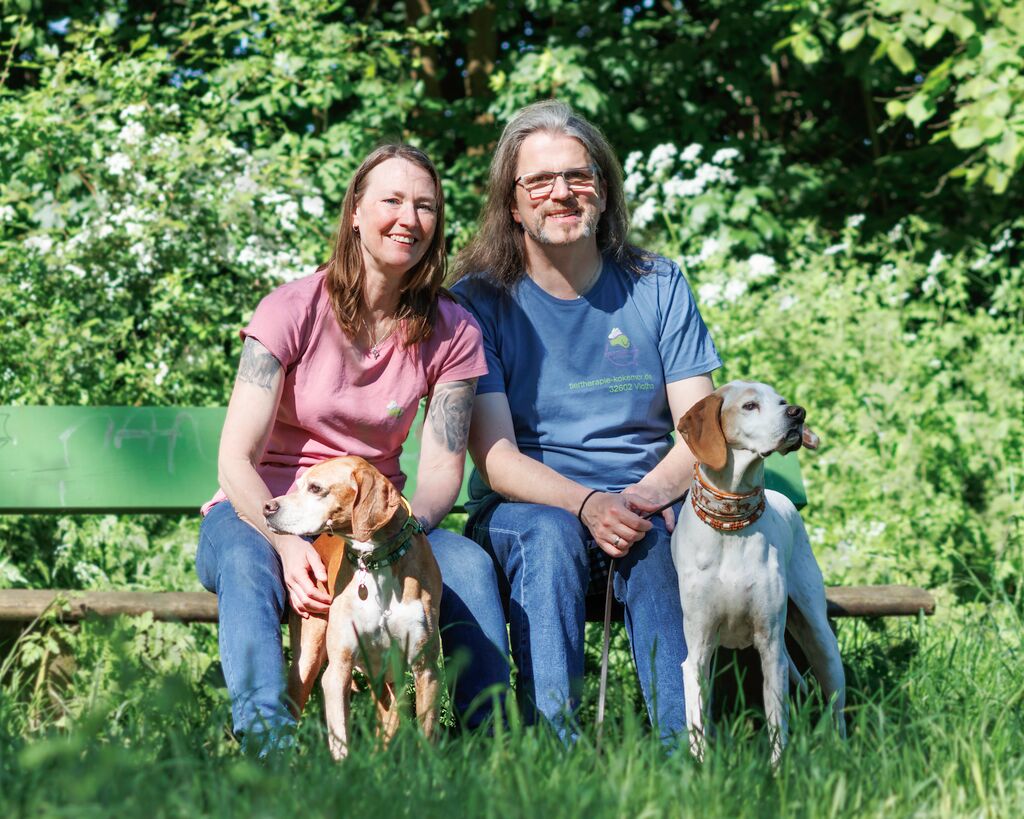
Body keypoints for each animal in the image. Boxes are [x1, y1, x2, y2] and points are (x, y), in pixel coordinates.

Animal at [263, 455, 442, 760]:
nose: (267, 507)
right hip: (307, 662)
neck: (377, 562)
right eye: (298, 484)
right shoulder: (338, 670)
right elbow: (340, 738)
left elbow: (427, 735)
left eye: (315, 488)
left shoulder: (425, 668)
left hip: (391, 682)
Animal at [672, 381, 846, 765]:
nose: (798, 413)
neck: (731, 526)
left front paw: (779, 774)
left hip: (820, 638)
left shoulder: (771, 651)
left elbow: (777, 728)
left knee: (836, 708)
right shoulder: (698, 652)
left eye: (781, 402)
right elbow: (698, 725)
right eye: (750, 406)